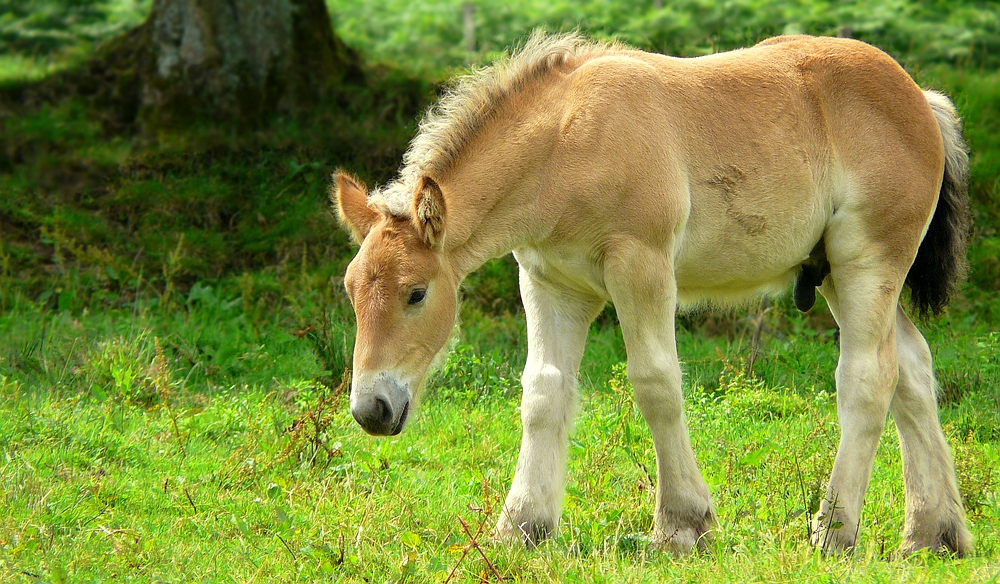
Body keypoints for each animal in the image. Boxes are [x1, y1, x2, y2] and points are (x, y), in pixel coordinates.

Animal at [332, 33, 972, 556]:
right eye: (351, 291)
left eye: (416, 294)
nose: (371, 409)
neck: (565, 144)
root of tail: (921, 99)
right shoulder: (549, 282)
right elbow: (543, 391)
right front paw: (522, 527)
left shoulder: (641, 265)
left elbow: (657, 383)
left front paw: (683, 525)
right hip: (836, 274)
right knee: (913, 371)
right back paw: (934, 534)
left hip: (868, 263)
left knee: (867, 379)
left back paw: (833, 531)